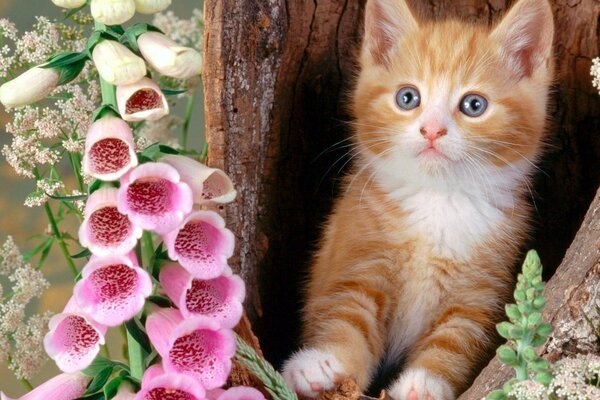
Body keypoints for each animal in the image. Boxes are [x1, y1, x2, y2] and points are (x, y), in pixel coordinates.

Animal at [282, 0, 552, 400]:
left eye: (474, 105)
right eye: (407, 98)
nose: (432, 130)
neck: (438, 199)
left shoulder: (480, 293)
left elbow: (457, 339)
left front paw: (425, 382)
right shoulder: (356, 255)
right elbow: (345, 311)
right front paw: (325, 362)